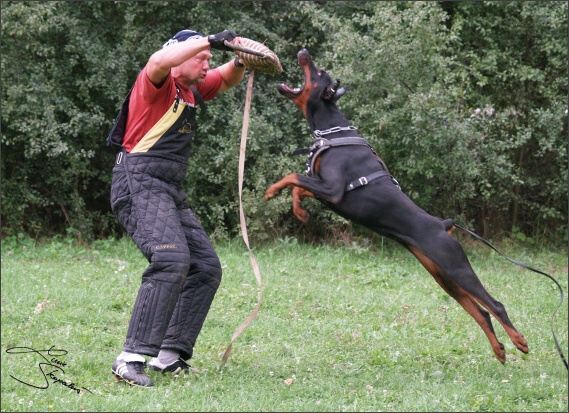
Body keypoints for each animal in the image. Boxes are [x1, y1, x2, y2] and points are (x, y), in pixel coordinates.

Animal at [266, 49, 528, 364]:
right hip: (442, 276)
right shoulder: (323, 188)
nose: (304, 52)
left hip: (456, 267)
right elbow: (299, 186)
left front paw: (270, 191)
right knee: (481, 313)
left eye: (319, 73)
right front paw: (299, 211)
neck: (331, 131)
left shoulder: (335, 189)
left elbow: (292, 176)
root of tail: (443, 226)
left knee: (495, 305)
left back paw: (519, 341)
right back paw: (499, 350)